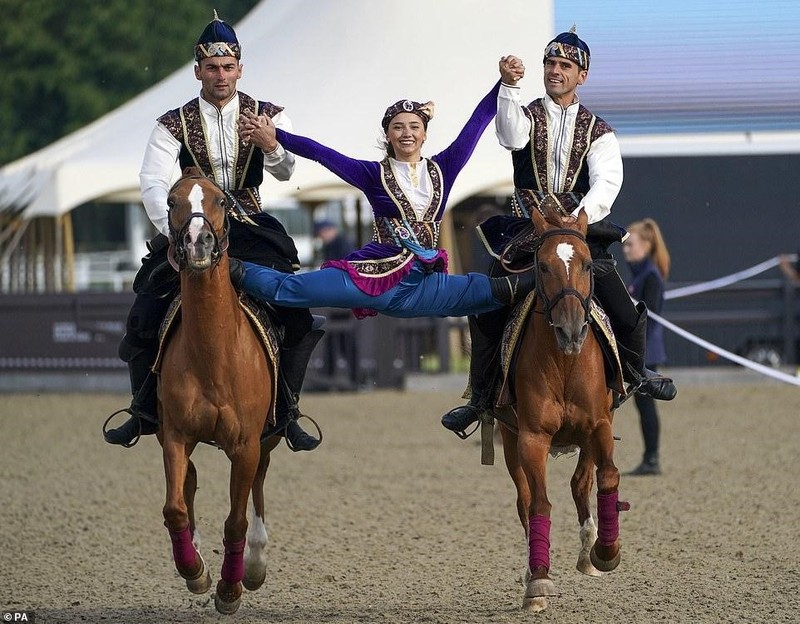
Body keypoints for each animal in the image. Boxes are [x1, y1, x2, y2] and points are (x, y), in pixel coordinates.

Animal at [158, 167, 280, 616]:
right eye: (172, 201)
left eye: (221, 201)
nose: (198, 241)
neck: (213, 351)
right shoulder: (175, 435)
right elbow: (174, 508)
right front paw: (195, 571)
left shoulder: (245, 445)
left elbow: (236, 519)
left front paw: (231, 589)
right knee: (189, 483)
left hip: (267, 439)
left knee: (259, 483)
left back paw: (255, 565)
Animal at [496, 204, 628, 608]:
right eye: (541, 266)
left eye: (586, 264)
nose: (571, 331)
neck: (564, 361)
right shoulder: (531, 437)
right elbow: (537, 504)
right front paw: (538, 580)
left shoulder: (600, 425)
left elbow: (608, 476)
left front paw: (606, 551)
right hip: (509, 440)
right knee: (525, 500)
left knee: (581, 481)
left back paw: (589, 551)